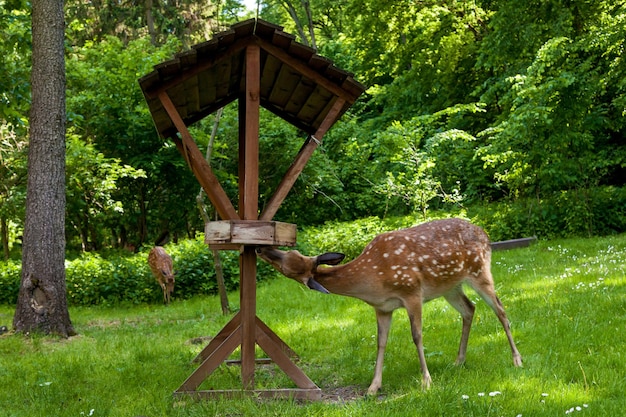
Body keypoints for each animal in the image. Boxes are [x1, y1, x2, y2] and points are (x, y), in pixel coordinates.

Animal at [255, 218, 520, 394]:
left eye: (287, 264)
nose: (262, 247)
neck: (373, 279)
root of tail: (486, 235)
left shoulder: (412, 292)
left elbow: (417, 336)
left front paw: (426, 381)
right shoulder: (382, 307)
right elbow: (381, 342)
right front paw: (373, 387)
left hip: (480, 271)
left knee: (500, 309)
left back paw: (517, 359)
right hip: (450, 287)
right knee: (469, 309)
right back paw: (459, 360)